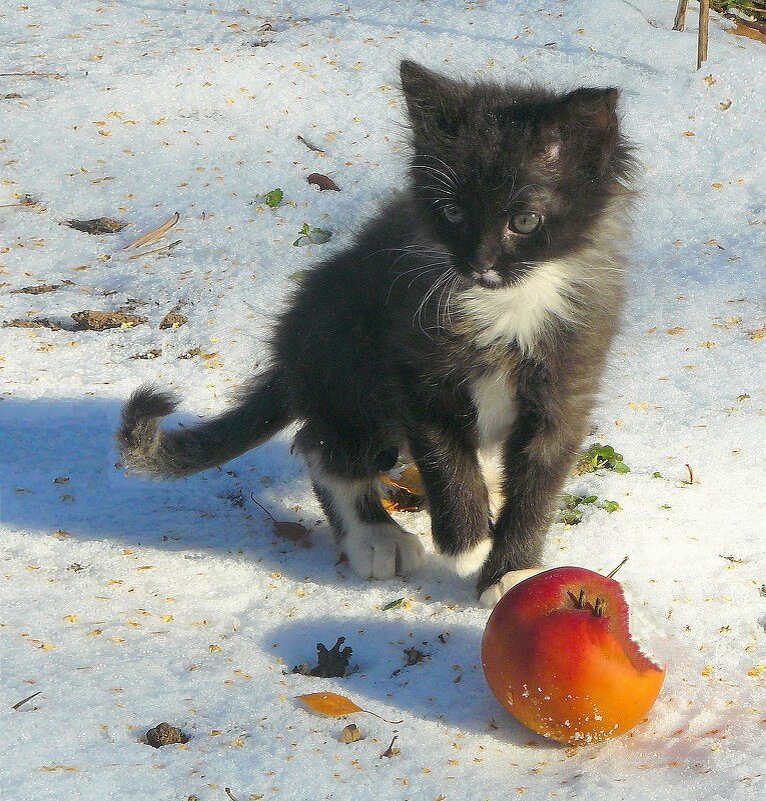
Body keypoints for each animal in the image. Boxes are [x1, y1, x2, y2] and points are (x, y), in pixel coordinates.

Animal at [118, 57, 636, 608]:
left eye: (524, 220)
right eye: (453, 212)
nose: (479, 262)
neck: (511, 304)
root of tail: (292, 355)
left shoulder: (566, 380)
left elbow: (539, 485)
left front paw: (513, 569)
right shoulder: (415, 364)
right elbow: (444, 457)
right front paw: (467, 539)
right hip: (349, 357)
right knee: (323, 444)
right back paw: (376, 535)